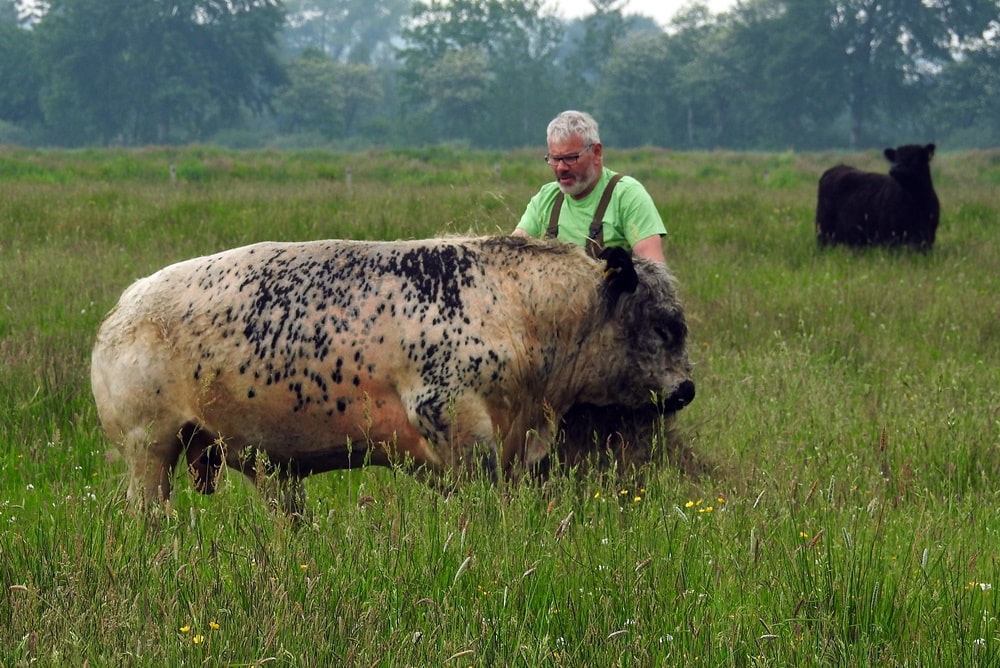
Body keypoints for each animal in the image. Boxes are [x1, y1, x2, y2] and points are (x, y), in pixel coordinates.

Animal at [94, 237, 696, 516]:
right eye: (664, 325)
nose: (686, 389)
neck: (522, 313)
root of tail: (126, 305)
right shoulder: (456, 427)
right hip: (148, 449)